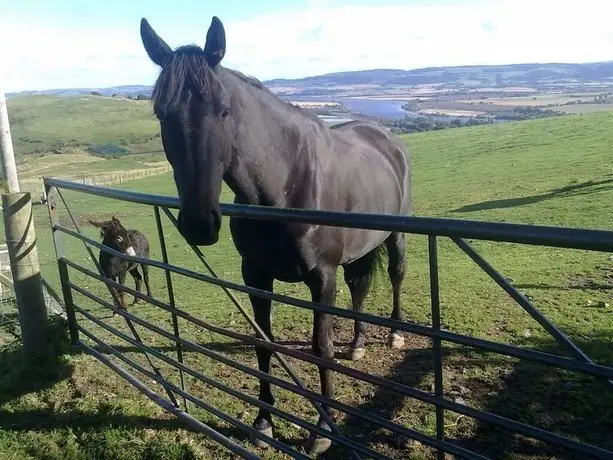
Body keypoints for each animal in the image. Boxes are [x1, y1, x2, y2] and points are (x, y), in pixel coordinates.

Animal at [140, 15, 412, 456]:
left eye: (224, 110)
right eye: (161, 112)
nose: (199, 223)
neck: (286, 185)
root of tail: (386, 137)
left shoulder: (322, 278)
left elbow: (321, 349)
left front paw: (321, 432)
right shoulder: (256, 275)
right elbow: (263, 343)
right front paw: (263, 421)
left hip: (395, 237)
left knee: (396, 276)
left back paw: (394, 335)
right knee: (360, 287)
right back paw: (358, 344)